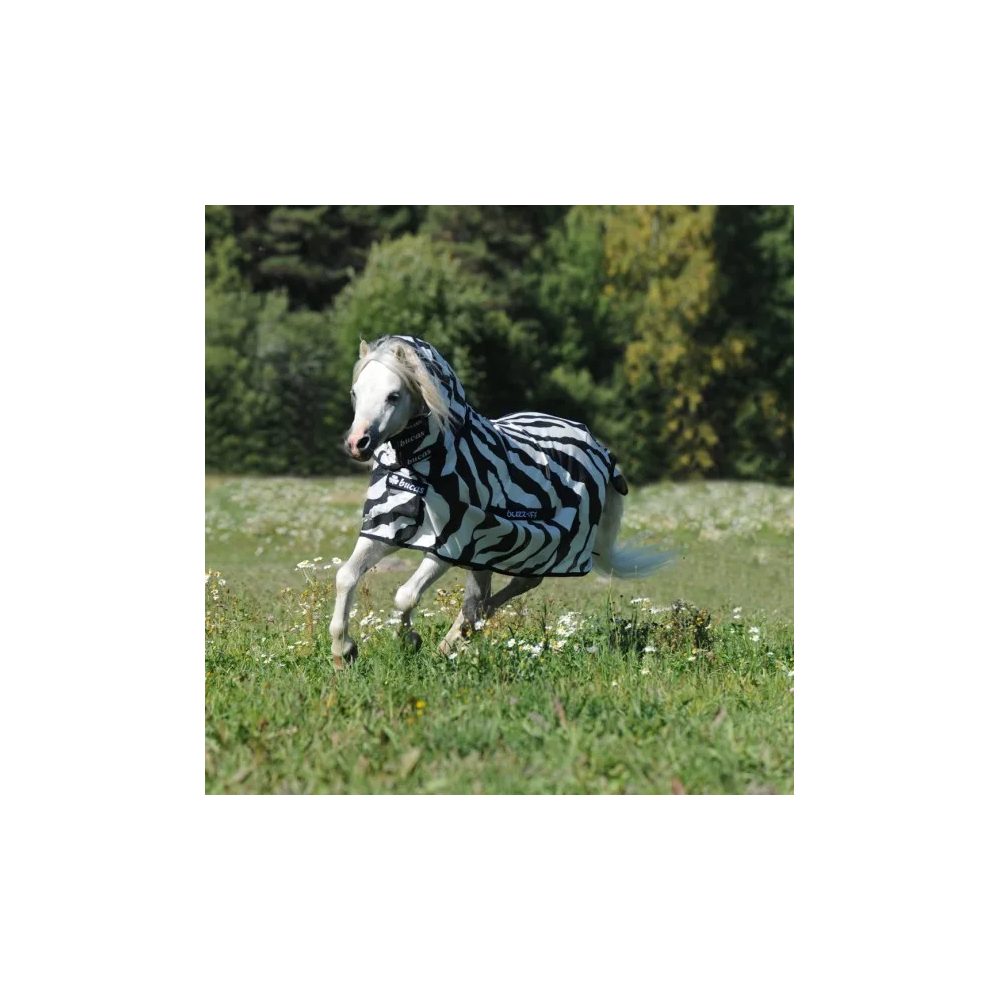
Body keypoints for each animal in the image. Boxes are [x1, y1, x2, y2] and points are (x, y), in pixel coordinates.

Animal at [330, 335, 671, 668]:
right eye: (355, 392)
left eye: (393, 396)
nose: (357, 443)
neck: (423, 464)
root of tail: (600, 450)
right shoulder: (385, 526)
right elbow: (345, 576)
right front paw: (343, 650)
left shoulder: (452, 541)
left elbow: (406, 595)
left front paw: (408, 641)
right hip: (488, 550)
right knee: (480, 597)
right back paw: (454, 641)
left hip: (536, 545)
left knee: (510, 590)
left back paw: (457, 637)